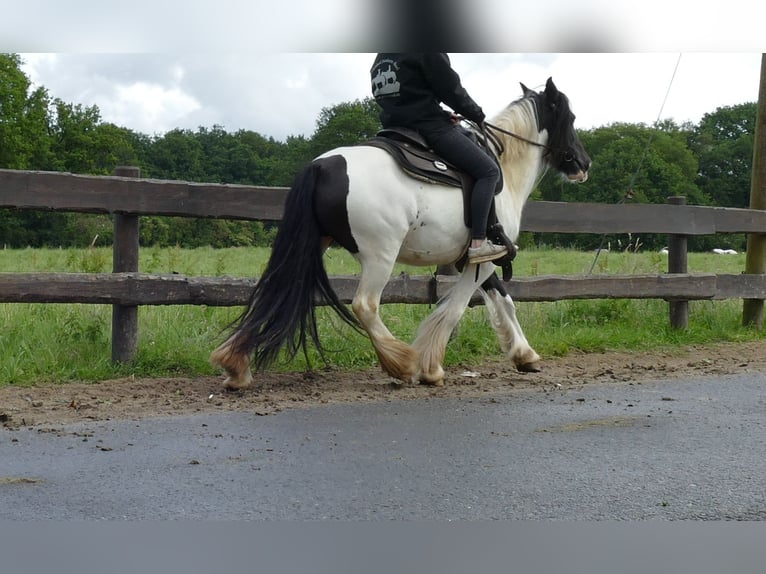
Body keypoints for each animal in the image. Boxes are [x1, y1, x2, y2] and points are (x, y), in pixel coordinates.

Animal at [212, 76, 592, 392]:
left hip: (312, 245)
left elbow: (503, 299)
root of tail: (322, 165)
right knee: (365, 305)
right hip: (380, 255)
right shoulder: (480, 260)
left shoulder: (481, 260)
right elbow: (455, 309)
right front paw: (431, 368)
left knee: (272, 294)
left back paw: (235, 366)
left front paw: (525, 355)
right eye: (571, 118)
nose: (583, 163)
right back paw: (401, 362)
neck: (503, 169)